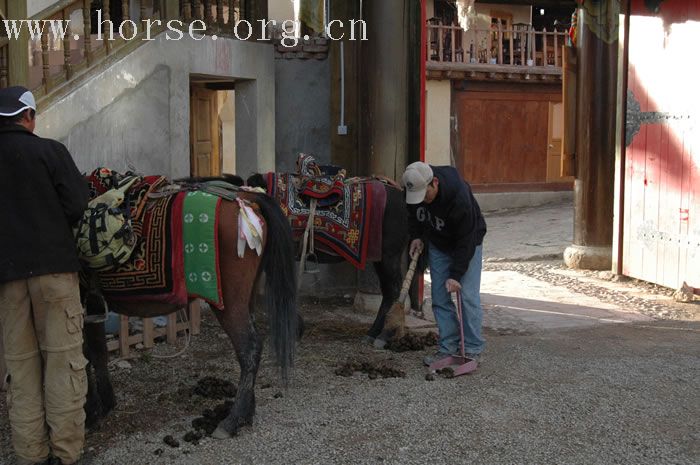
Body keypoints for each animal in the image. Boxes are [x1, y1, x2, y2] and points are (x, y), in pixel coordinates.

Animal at [82, 182, 298, 438]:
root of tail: (246, 197)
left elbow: (84, 356)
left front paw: (90, 411)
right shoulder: (93, 306)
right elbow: (97, 352)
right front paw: (104, 404)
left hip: (230, 303)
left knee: (249, 348)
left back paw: (233, 419)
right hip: (248, 297)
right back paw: (247, 411)